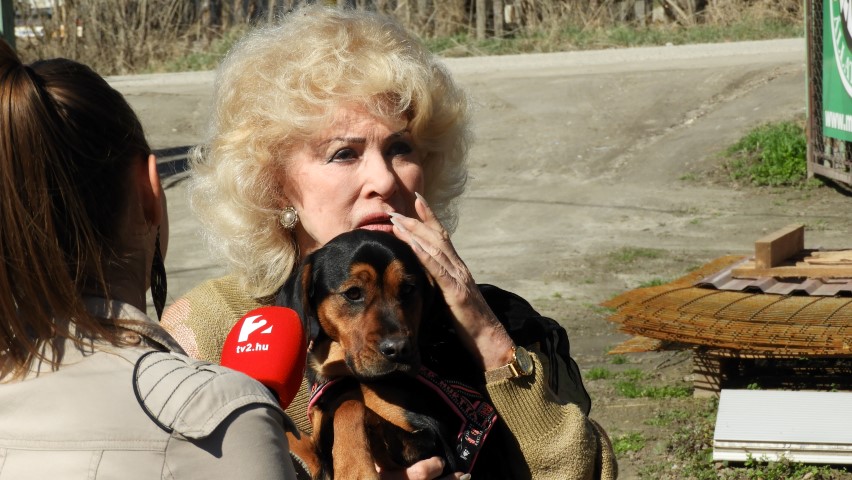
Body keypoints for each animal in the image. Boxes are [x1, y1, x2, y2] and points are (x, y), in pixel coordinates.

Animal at [277, 229, 499, 480]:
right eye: (353, 293)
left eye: (408, 289)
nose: (400, 349)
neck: (346, 374)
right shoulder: (317, 452)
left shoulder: (433, 440)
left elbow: (351, 405)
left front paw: (354, 469)